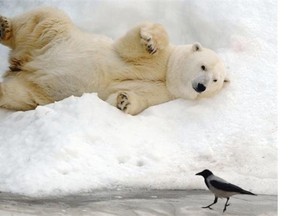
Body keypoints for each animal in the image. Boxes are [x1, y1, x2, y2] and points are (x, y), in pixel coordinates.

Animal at [0, 6, 230, 115]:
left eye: (216, 80)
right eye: (203, 66)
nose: (201, 86)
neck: (166, 76)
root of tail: (23, 64)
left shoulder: (163, 94)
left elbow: (134, 98)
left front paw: (124, 100)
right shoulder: (154, 61)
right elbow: (129, 47)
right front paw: (151, 41)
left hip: (35, 90)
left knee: (17, 93)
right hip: (55, 38)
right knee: (44, 19)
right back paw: (5, 27)